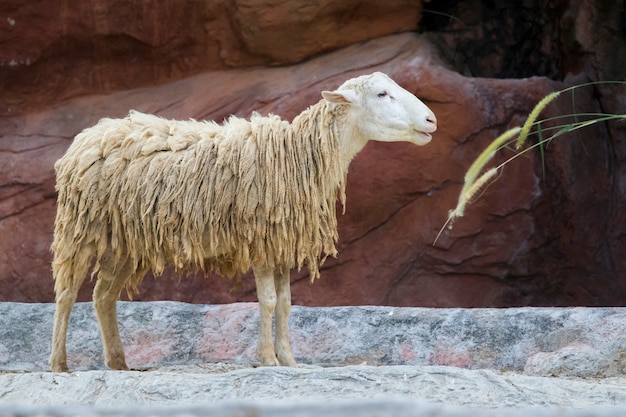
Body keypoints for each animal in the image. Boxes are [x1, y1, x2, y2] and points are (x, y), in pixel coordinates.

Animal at [48, 71, 436, 370]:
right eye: (382, 94)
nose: (432, 120)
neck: (296, 154)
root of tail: (87, 136)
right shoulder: (261, 239)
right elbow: (268, 301)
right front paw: (267, 359)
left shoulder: (280, 243)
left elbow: (286, 303)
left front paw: (289, 360)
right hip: (80, 228)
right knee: (66, 294)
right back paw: (59, 364)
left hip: (123, 242)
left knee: (103, 296)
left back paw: (118, 363)